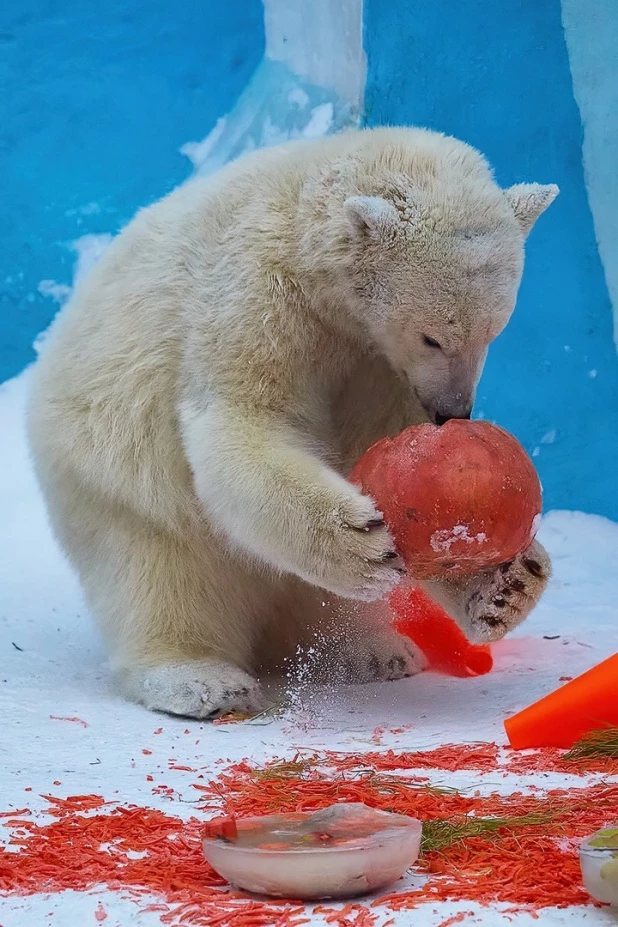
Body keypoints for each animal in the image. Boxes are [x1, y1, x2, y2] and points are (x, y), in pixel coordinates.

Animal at [27, 127, 560, 716]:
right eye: (432, 337)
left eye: (492, 332)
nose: (453, 411)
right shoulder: (256, 292)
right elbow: (243, 419)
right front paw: (361, 539)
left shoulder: (375, 360)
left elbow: (384, 445)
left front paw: (505, 584)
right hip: (113, 479)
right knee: (160, 573)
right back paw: (201, 679)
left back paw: (370, 652)